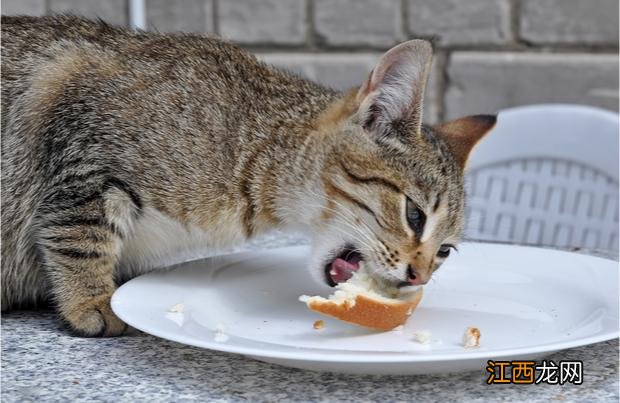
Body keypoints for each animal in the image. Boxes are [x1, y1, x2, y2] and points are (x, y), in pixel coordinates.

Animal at [0, 15, 494, 338]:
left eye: (445, 251)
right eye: (415, 215)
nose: (419, 278)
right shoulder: (84, 137)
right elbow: (80, 235)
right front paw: (91, 299)